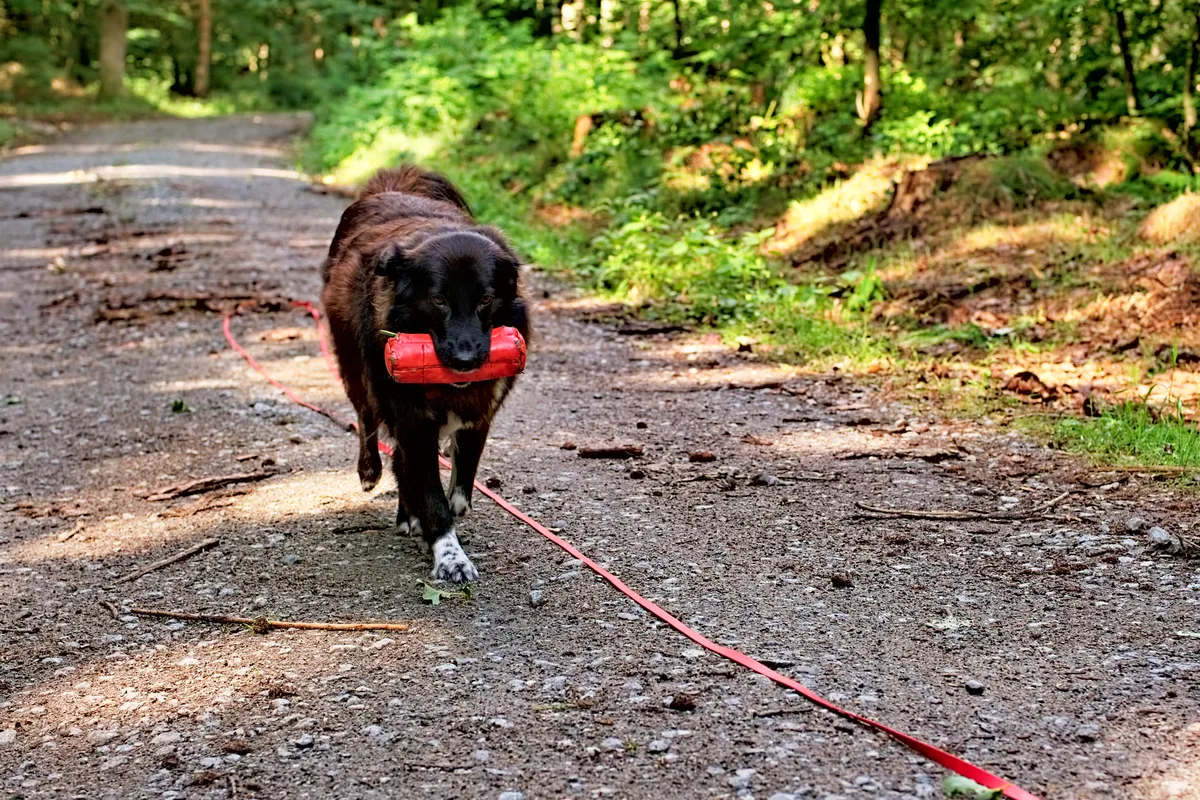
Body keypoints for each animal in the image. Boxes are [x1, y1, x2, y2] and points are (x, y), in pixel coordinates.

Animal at [321, 167, 528, 582]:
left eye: (486, 299)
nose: (466, 360)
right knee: (366, 417)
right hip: (355, 366)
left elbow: (462, 472)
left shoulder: (481, 407)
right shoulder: (412, 418)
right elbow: (431, 495)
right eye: (438, 300)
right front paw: (451, 557)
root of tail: (392, 185)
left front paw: (453, 505)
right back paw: (371, 473)